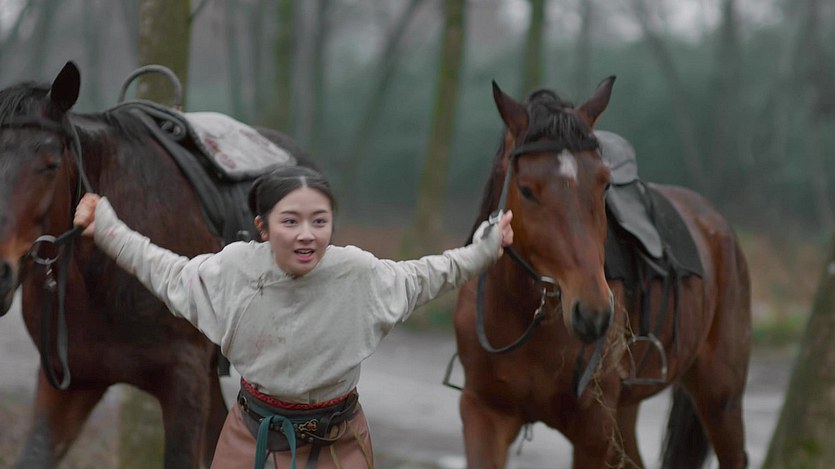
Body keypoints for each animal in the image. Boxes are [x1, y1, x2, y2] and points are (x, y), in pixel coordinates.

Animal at [452, 77, 751, 468]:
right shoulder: (484, 414)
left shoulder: (594, 432)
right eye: (526, 190)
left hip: (720, 397)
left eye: (604, 184)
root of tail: (716, 225)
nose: (593, 312)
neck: (528, 316)